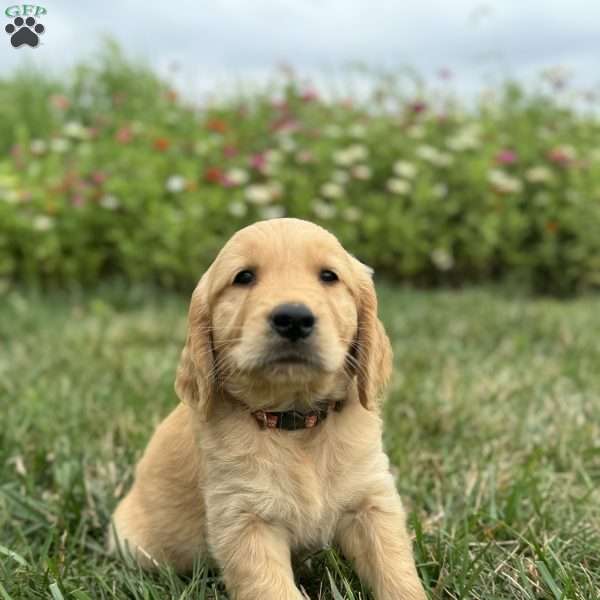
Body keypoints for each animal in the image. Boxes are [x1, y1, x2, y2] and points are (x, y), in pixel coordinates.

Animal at [109, 217, 426, 600]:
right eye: (244, 277)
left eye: (329, 276)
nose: (293, 318)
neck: (295, 421)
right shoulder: (244, 519)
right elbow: (272, 587)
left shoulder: (372, 501)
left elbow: (396, 571)